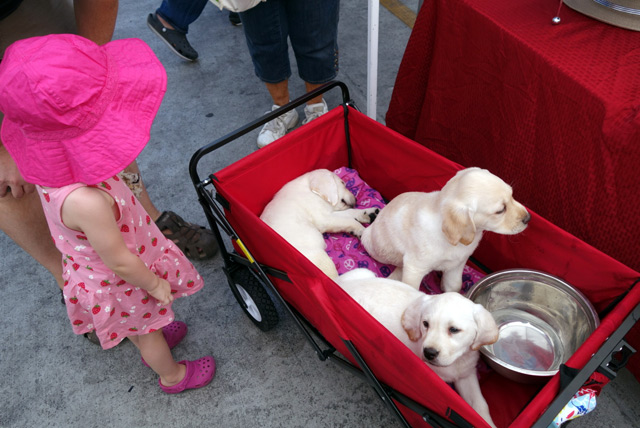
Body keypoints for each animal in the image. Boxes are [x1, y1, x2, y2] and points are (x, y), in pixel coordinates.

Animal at [338, 270, 498, 426]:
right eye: (425, 324)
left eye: (454, 330)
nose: (429, 353)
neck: (455, 361)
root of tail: (342, 286)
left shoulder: (467, 374)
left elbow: (480, 405)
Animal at [360, 167, 528, 290]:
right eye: (500, 210)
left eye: (512, 195)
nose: (528, 218)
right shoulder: (415, 268)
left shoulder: (457, 265)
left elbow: (454, 286)